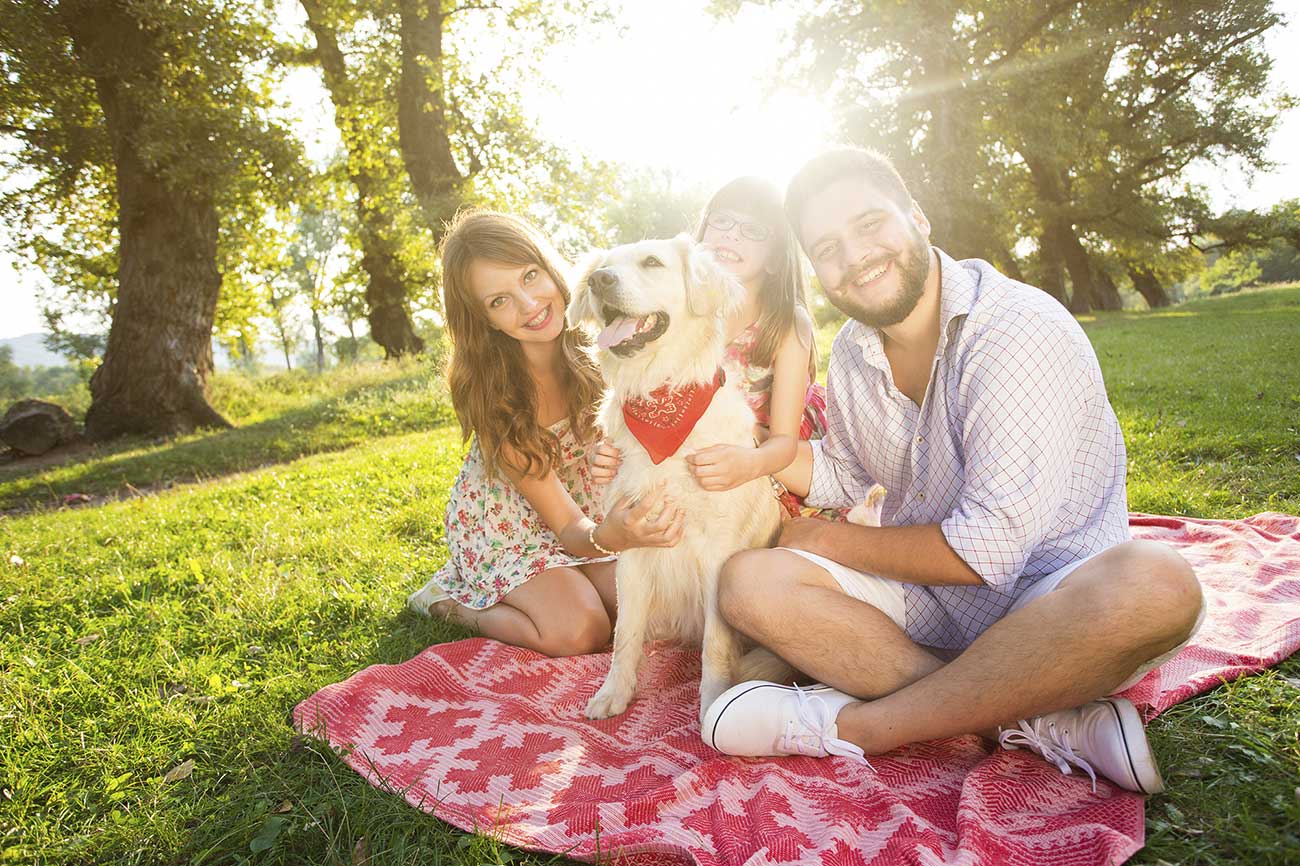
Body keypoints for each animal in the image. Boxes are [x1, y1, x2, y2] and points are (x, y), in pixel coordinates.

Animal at [572, 232, 780, 717]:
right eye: (605, 265)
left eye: (652, 262)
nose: (599, 279)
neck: (661, 396)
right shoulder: (631, 539)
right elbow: (624, 633)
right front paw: (615, 693)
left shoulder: (719, 552)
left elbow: (715, 645)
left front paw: (712, 704)